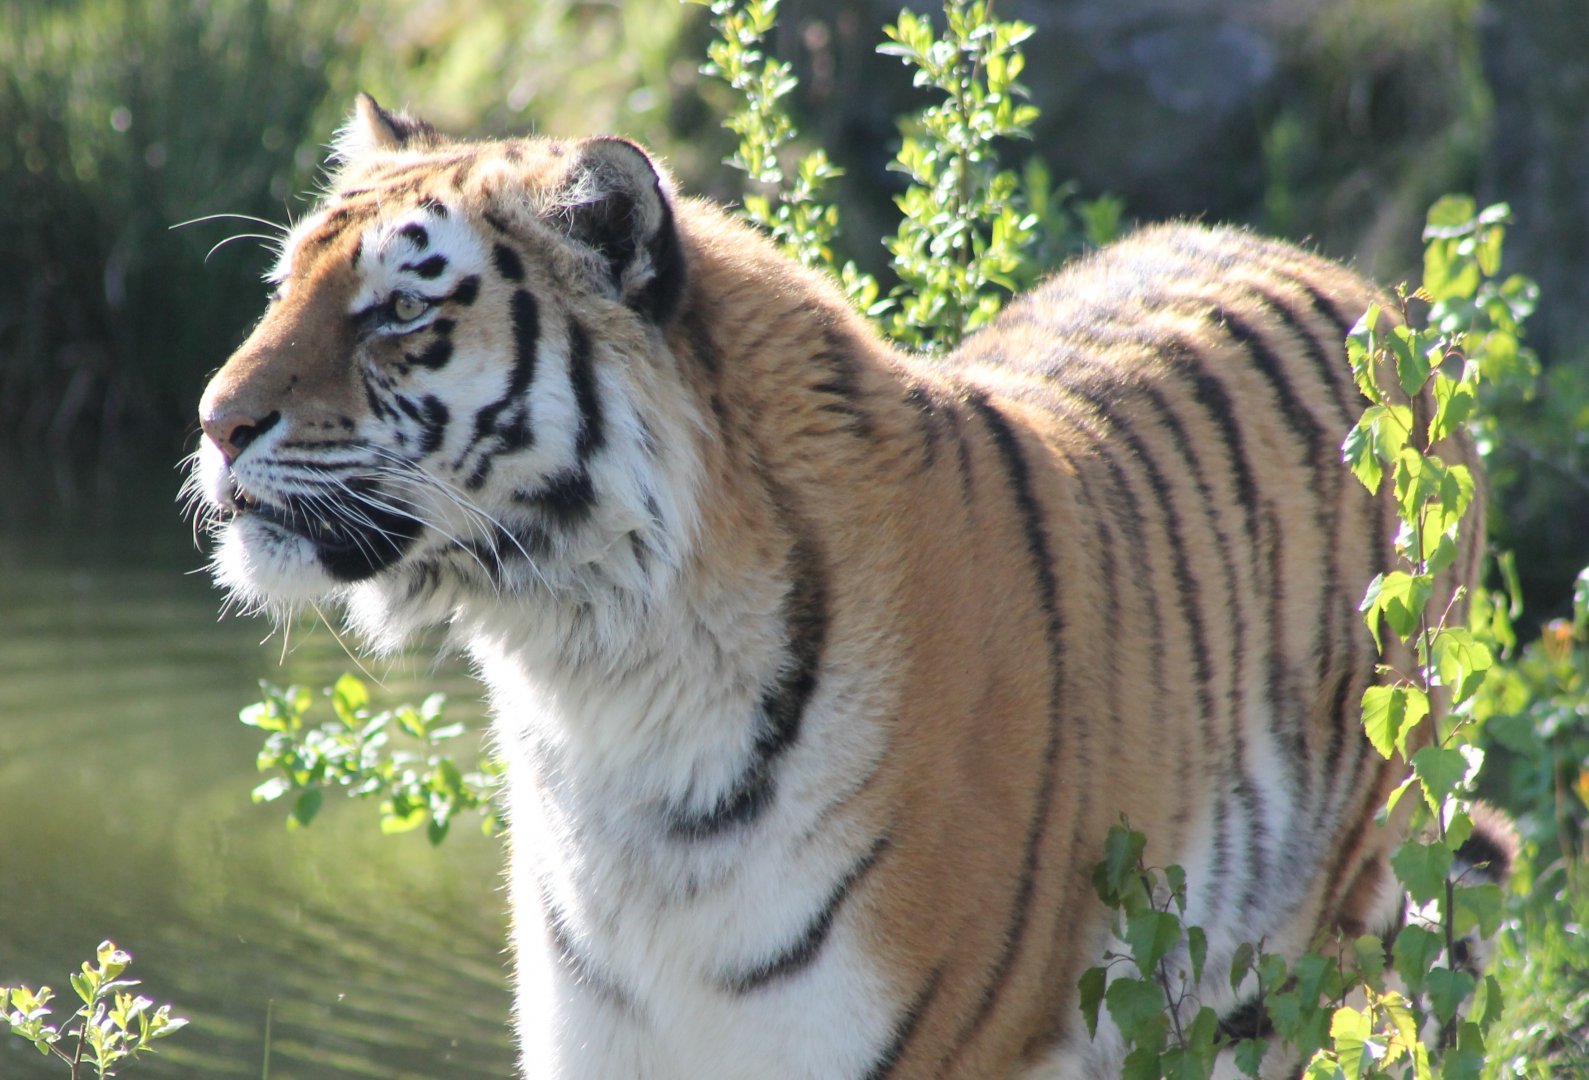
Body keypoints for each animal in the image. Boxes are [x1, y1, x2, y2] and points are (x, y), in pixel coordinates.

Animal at [189, 94, 1496, 1079]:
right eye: (282, 285)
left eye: (400, 309)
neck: (601, 680)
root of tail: (1363, 286)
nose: (213, 421)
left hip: (1295, 952)